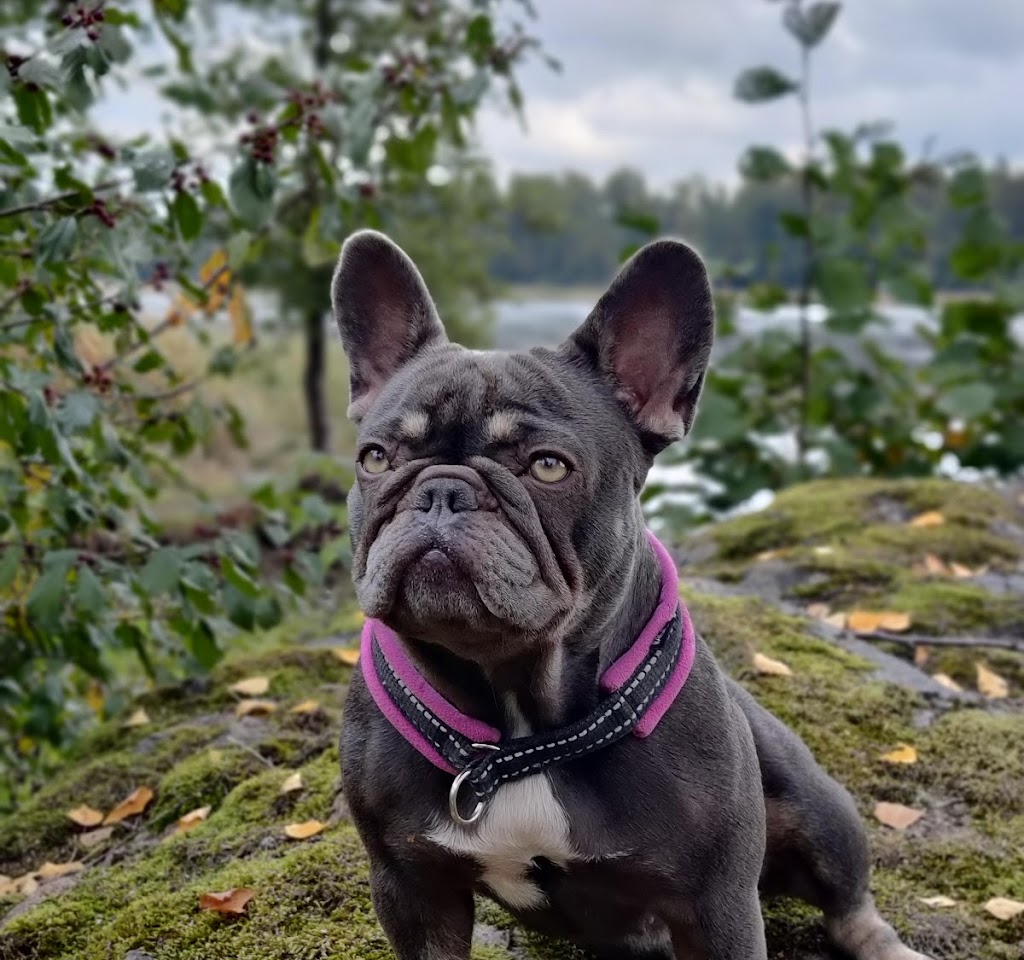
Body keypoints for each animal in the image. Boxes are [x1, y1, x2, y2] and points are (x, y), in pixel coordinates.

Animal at [334, 230, 931, 960]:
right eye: (375, 458)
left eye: (547, 467)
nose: (441, 490)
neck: (521, 728)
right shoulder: (412, 886)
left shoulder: (716, 903)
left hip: (817, 806)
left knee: (850, 902)